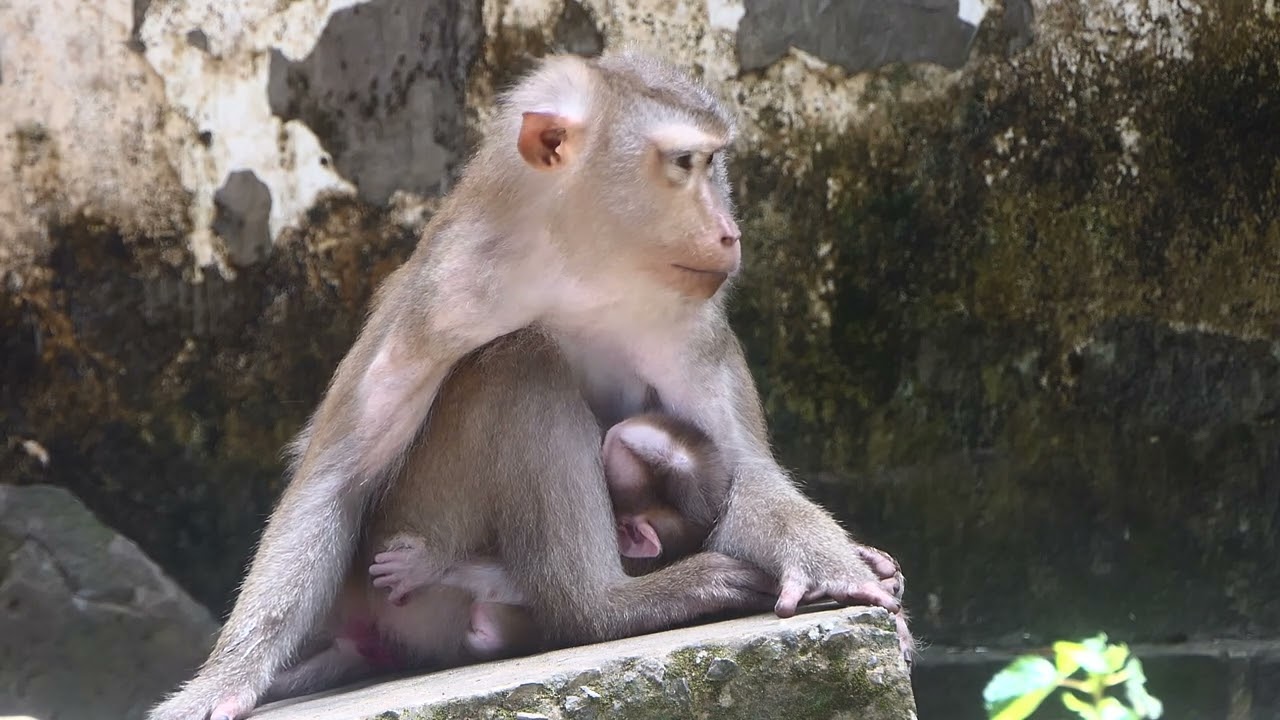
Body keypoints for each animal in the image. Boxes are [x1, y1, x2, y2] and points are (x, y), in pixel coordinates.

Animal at [150, 50, 909, 720]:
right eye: (686, 164)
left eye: (713, 163)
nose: (728, 233)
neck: (578, 268)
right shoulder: (446, 290)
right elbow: (338, 478)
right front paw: (221, 681)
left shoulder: (688, 319)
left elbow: (743, 470)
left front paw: (836, 567)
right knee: (521, 361)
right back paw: (599, 606)